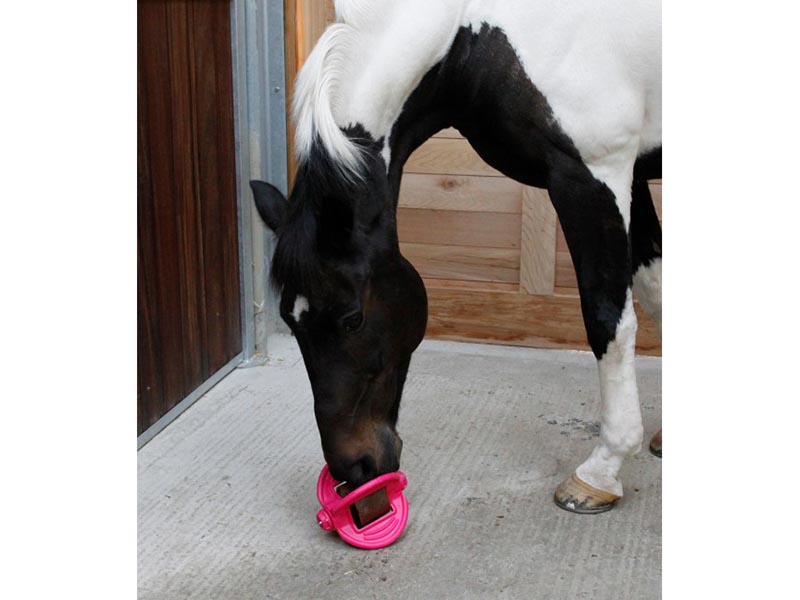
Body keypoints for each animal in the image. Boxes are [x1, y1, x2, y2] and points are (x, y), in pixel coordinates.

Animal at [251, 0, 661, 514]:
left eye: (352, 319)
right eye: (290, 320)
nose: (355, 470)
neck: (474, 34)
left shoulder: (595, 175)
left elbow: (607, 320)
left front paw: (602, 471)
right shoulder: (634, 175)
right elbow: (657, 289)